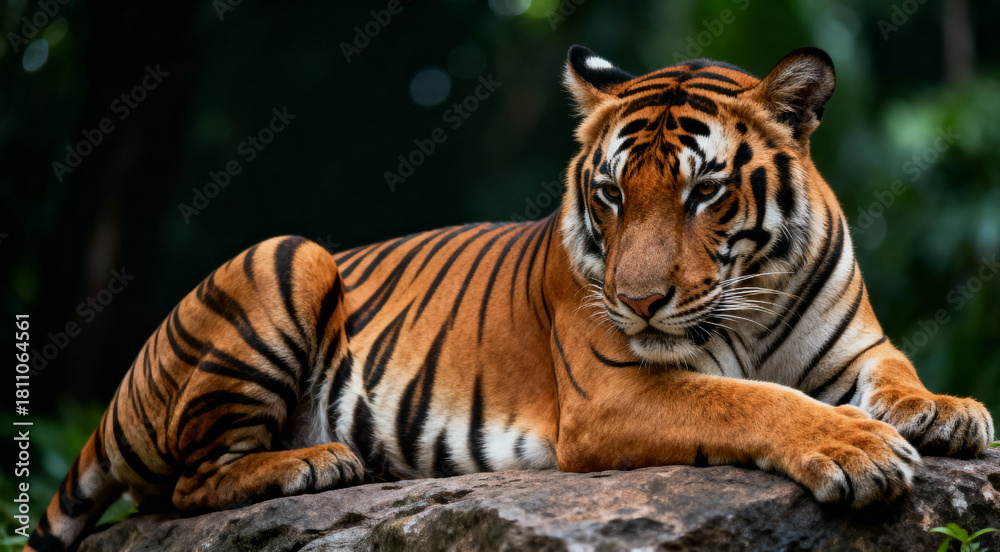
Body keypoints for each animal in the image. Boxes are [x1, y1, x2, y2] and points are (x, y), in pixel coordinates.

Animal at [28, 45, 995, 552]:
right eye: (611, 194)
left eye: (703, 193)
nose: (639, 302)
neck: (750, 298)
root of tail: (119, 394)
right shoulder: (614, 391)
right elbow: (747, 401)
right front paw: (856, 449)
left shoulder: (856, 349)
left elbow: (898, 374)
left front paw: (946, 412)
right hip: (286, 256)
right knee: (184, 486)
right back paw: (314, 463)